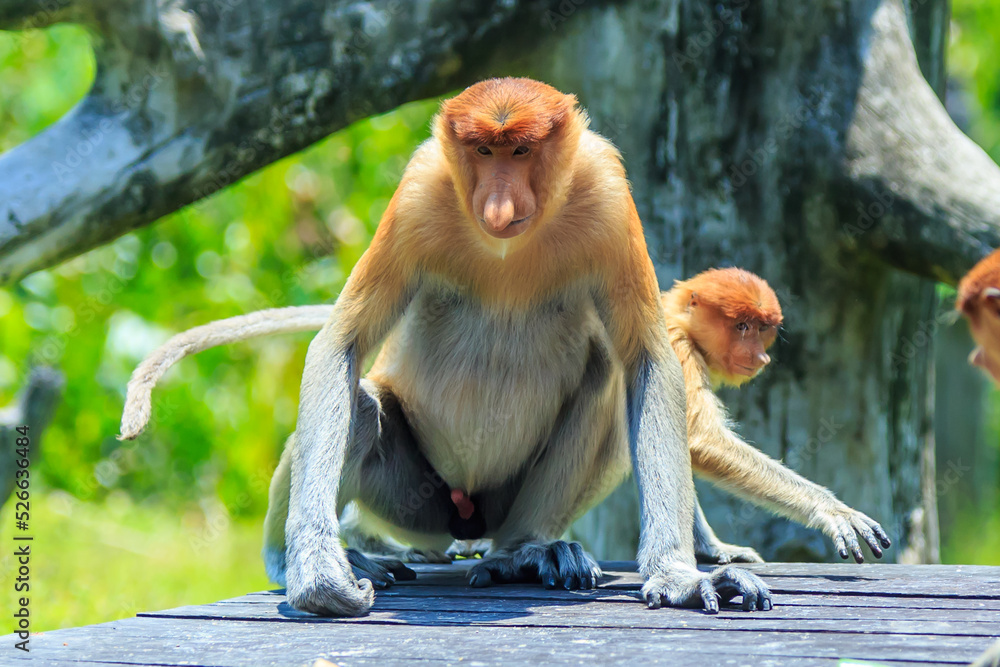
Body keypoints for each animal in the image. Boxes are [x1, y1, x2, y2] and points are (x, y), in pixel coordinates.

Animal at [121, 77, 773, 616]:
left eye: (521, 151)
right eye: (483, 151)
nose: (498, 207)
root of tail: (469, 517)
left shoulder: (610, 195)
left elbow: (647, 362)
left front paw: (681, 577)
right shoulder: (417, 192)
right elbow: (339, 344)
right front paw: (317, 574)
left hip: (502, 502)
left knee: (606, 379)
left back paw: (525, 553)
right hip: (418, 503)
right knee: (362, 407)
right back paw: (308, 560)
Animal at [665, 267, 892, 563]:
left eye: (762, 327)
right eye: (741, 326)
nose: (761, 357)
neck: (680, 320)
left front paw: (714, 549)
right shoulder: (678, 348)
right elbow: (699, 438)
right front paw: (831, 509)